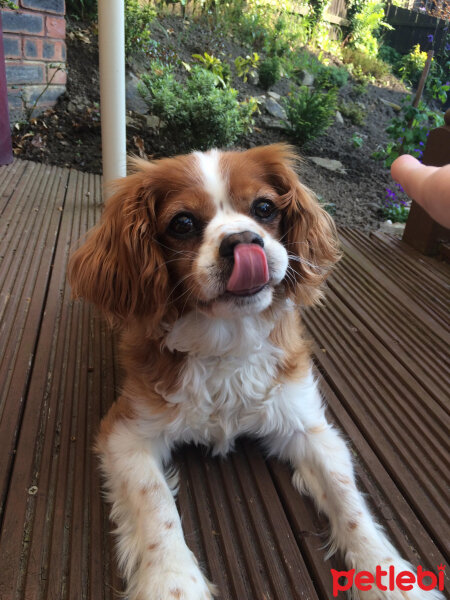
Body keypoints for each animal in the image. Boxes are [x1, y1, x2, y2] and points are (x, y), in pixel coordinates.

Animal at [68, 145, 442, 600]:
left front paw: (387, 576)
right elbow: (156, 504)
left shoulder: (308, 426)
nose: (243, 241)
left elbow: (347, 499)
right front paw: (173, 582)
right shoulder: (125, 434)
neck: (228, 341)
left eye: (264, 208)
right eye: (183, 223)